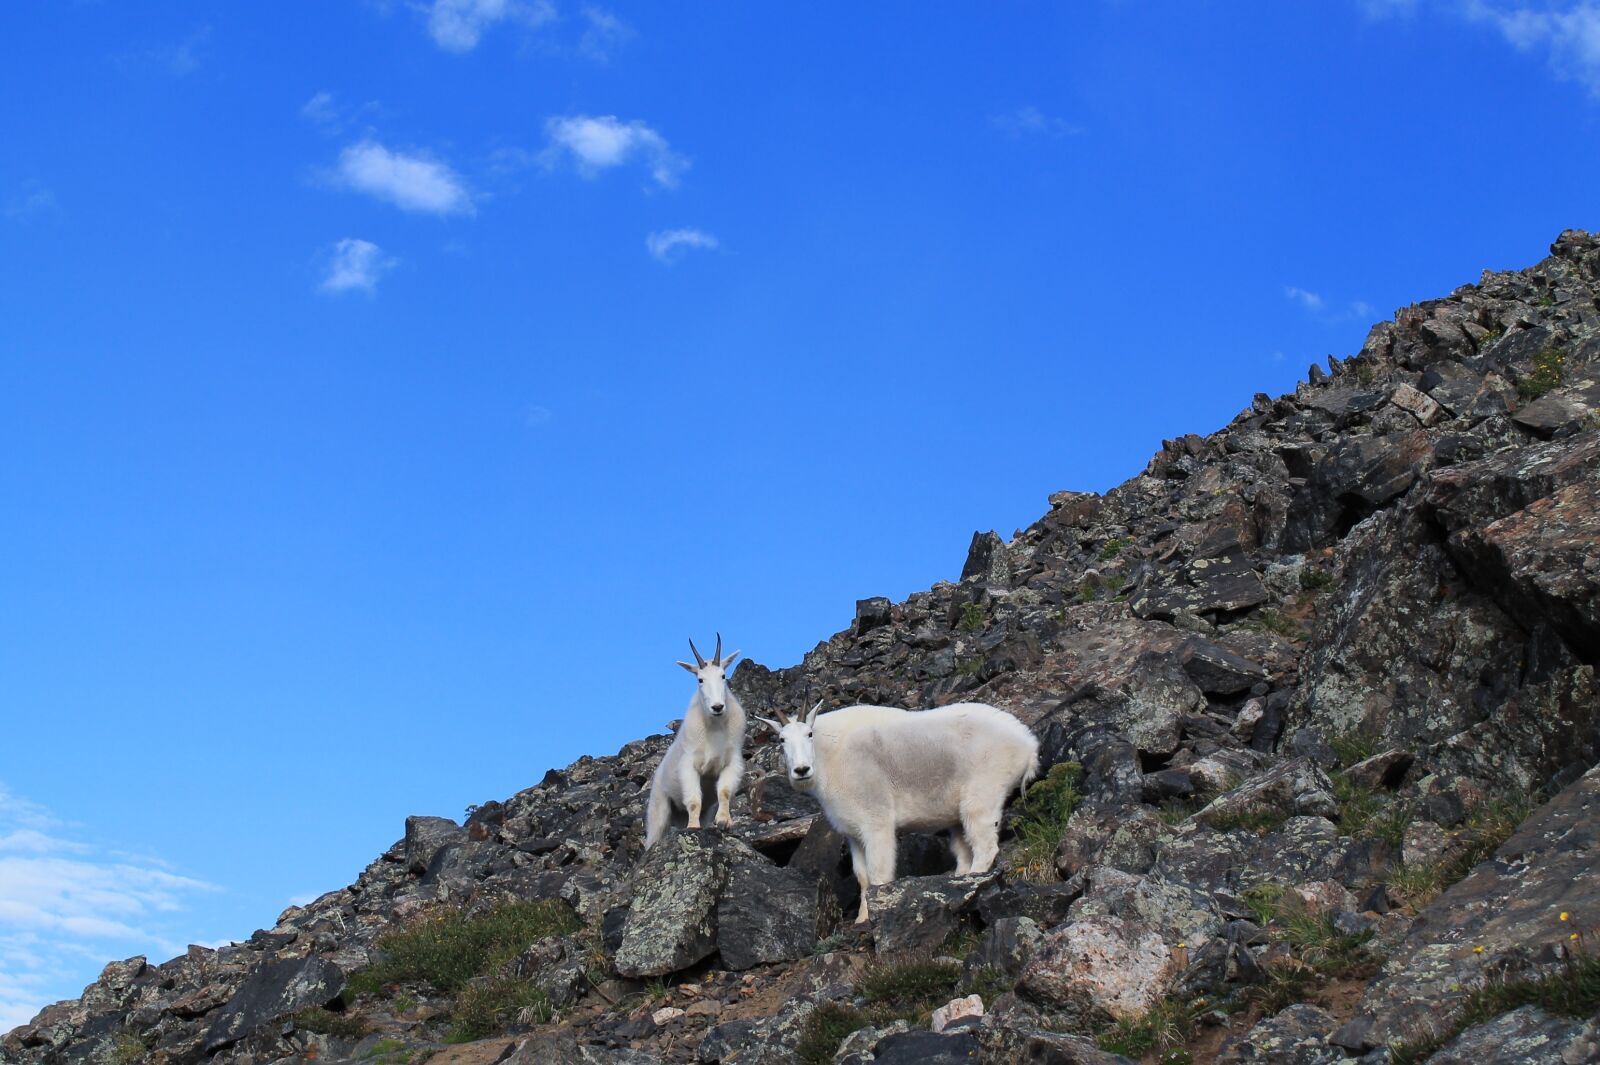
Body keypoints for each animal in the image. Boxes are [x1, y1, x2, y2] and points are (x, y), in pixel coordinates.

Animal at [643, 634, 747, 849]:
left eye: (723, 676)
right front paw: (693, 827)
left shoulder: (732, 763)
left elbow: (724, 792)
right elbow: (693, 801)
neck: (715, 727)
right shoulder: (689, 765)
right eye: (700, 679)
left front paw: (724, 821)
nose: (717, 707)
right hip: (659, 812)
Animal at [758, 700, 1038, 923]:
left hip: (982, 797)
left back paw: (970, 882)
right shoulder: (853, 833)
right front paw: (861, 919)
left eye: (809, 734)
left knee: (985, 847)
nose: (801, 770)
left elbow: (878, 875)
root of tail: (1028, 743)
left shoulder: (876, 822)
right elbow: (862, 877)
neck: (831, 757)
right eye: (781, 739)